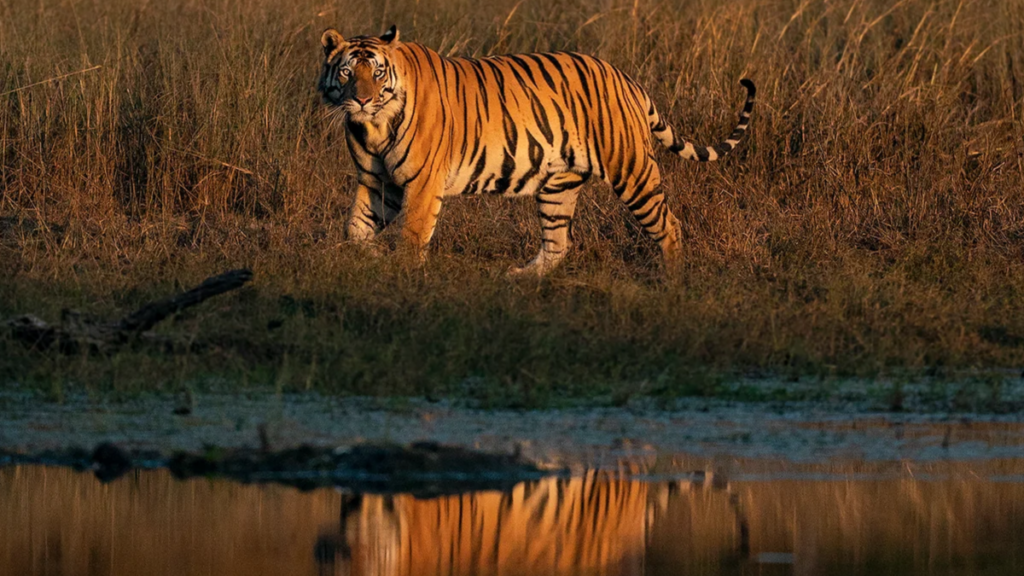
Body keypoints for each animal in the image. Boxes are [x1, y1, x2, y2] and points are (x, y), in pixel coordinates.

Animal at [318, 25, 755, 275]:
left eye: (377, 73)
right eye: (346, 72)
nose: (361, 100)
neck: (374, 128)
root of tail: (625, 77)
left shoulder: (422, 184)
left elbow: (411, 235)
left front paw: (403, 276)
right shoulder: (378, 181)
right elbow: (355, 228)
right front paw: (370, 257)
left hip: (632, 171)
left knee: (669, 226)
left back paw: (672, 282)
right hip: (558, 186)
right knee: (558, 243)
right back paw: (521, 278)